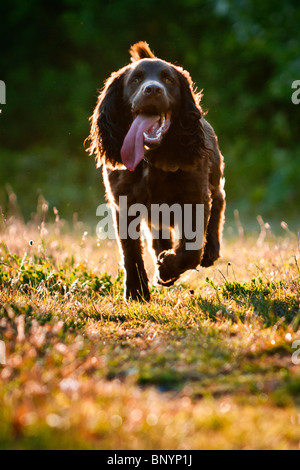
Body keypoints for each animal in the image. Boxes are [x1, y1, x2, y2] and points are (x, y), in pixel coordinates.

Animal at [86, 41, 225, 302]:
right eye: (135, 79)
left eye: (168, 80)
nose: (152, 90)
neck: (150, 158)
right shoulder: (123, 204)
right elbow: (130, 251)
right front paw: (136, 291)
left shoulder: (195, 197)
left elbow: (192, 248)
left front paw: (168, 267)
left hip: (213, 180)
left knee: (218, 205)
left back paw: (210, 250)